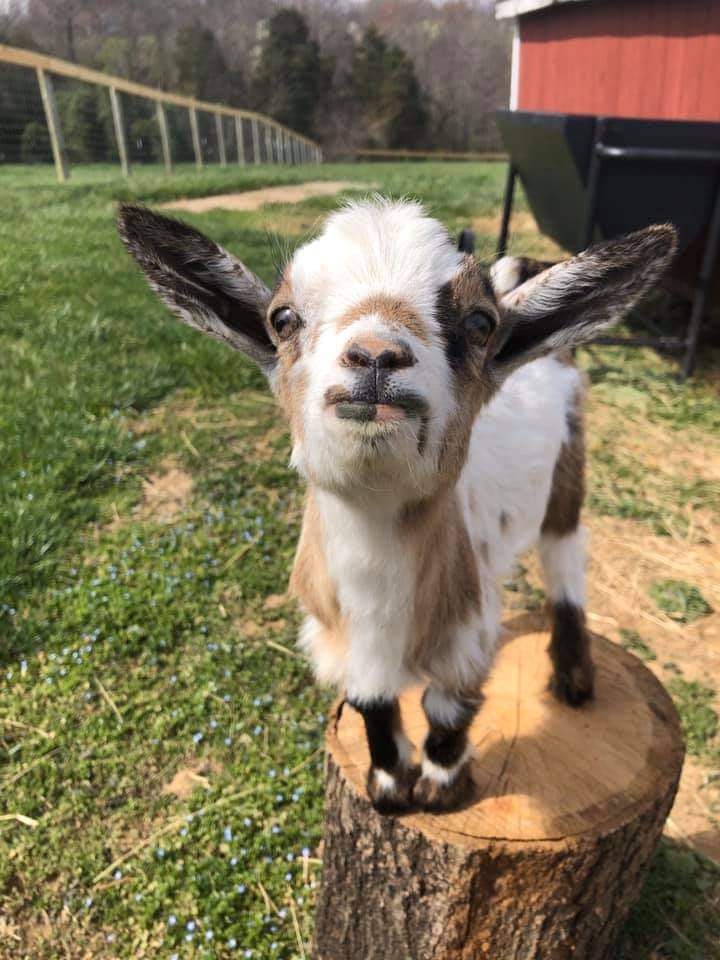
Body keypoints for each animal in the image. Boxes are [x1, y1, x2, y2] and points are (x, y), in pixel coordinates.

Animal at [117, 199, 675, 814]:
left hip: (570, 460)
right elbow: (371, 702)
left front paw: (440, 785)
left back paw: (574, 675)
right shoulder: (338, 636)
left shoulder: (469, 626)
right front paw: (387, 784)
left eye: (479, 324)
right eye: (281, 318)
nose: (376, 356)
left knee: (565, 550)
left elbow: (448, 705)